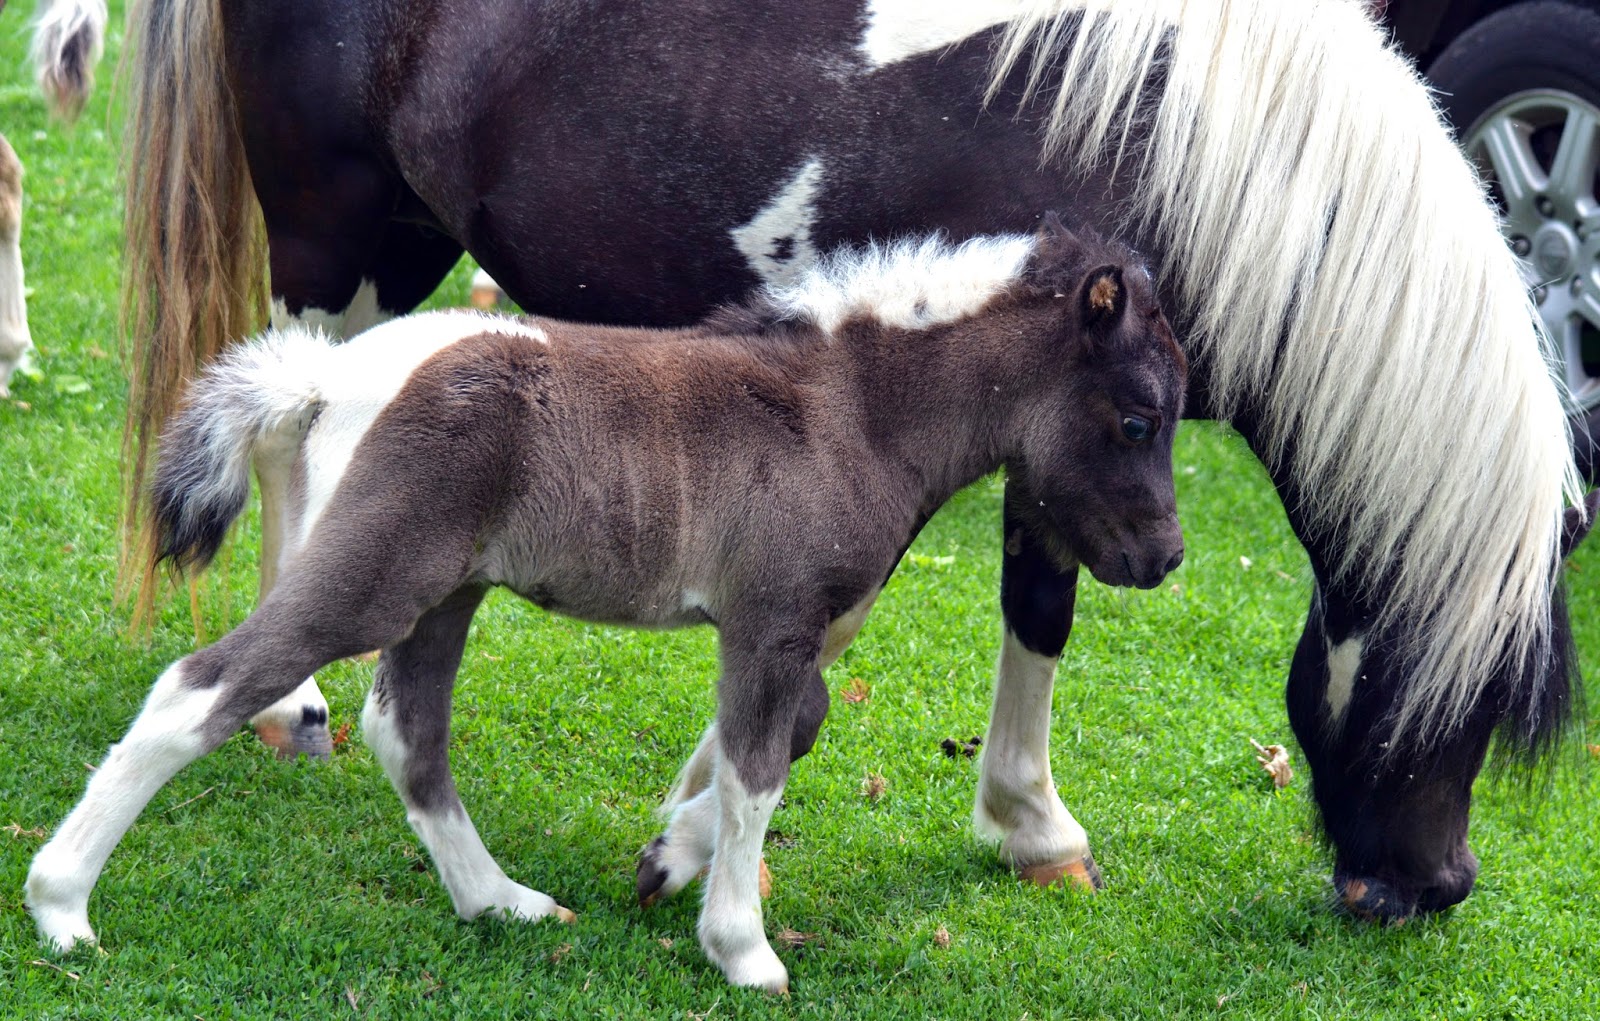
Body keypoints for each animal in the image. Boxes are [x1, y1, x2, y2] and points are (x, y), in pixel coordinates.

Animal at [28, 223, 1189, 992]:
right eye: (1138, 419)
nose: (1165, 557)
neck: (847, 411)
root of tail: (324, 378)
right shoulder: (771, 617)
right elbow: (759, 769)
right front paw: (743, 948)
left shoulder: (780, 632)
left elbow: (783, 735)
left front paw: (665, 857)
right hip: (374, 579)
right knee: (200, 690)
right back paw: (61, 905)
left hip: (448, 591)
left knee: (406, 733)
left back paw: (499, 900)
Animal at [112, 0, 1587, 927]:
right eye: (1453, 694)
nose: (1435, 888)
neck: (1190, 142)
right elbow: (829, 641)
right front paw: (695, 840)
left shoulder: (1055, 430)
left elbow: (1036, 607)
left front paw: (1027, 828)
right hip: (339, 238)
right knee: (293, 432)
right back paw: (291, 704)